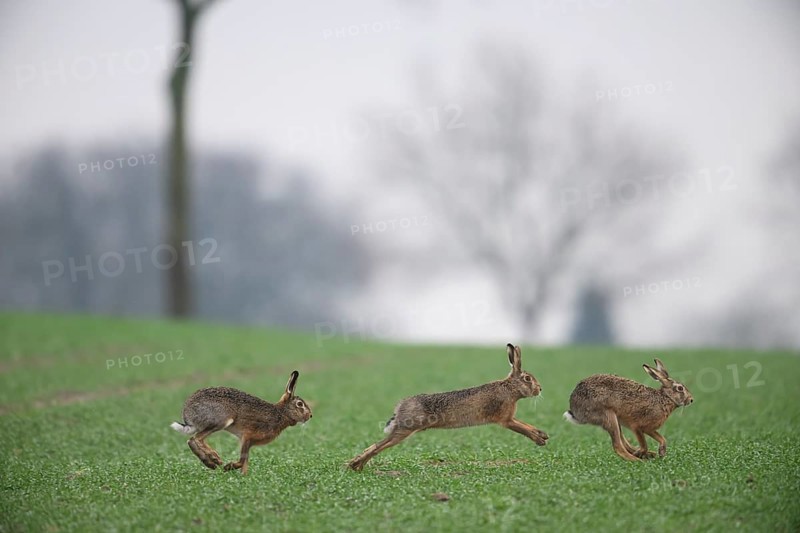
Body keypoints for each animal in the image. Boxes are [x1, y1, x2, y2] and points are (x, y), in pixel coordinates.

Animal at [170, 370, 312, 474]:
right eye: (300, 404)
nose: (310, 415)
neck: (281, 413)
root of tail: (187, 414)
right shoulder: (247, 437)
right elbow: (242, 460)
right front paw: (228, 467)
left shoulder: (249, 442)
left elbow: (245, 462)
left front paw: (244, 476)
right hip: (222, 420)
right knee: (197, 438)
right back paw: (215, 459)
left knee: (191, 440)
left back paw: (211, 463)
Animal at [348, 343, 548, 471]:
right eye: (527, 379)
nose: (540, 389)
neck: (510, 388)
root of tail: (399, 407)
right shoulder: (505, 419)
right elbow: (522, 428)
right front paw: (539, 439)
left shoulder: (508, 418)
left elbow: (526, 425)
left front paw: (543, 435)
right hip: (405, 429)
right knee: (379, 445)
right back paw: (356, 466)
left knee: (377, 444)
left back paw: (356, 464)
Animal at [563, 358, 693, 461]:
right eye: (680, 388)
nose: (691, 400)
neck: (665, 398)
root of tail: (575, 410)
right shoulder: (639, 427)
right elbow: (647, 442)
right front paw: (652, 452)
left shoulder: (649, 429)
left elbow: (662, 438)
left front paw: (660, 452)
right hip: (608, 416)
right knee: (618, 447)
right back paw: (639, 460)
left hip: (616, 420)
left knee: (624, 444)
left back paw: (647, 455)